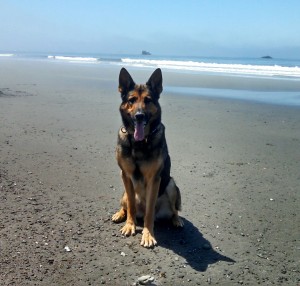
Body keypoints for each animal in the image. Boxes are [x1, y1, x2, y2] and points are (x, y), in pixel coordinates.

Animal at [112, 68, 183, 247]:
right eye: (131, 100)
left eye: (148, 100)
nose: (139, 116)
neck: (139, 143)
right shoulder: (125, 175)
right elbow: (131, 205)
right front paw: (129, 225)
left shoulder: (154, 179)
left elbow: (149, 211)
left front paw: (148, 234)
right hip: (124, 191)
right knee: (126, 205)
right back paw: (119, 214)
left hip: (171, 185)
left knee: (174, 210)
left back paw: (176, 220)